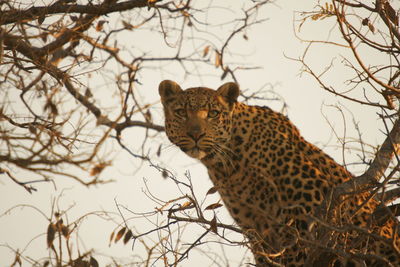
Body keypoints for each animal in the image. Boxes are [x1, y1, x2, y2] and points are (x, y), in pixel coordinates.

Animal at [158, 80, 398, 267]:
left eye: (213, 114)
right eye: (181, 113)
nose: (195, 134)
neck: (227, 164)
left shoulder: (308, 207)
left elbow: (298, 250)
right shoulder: (257, 231)